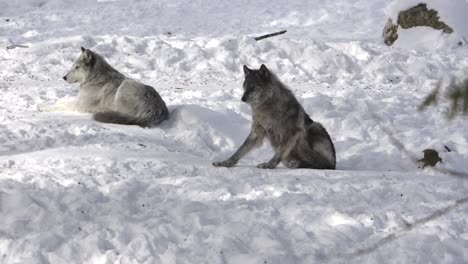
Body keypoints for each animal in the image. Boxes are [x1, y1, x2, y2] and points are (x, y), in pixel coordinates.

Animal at [37, 47, 168, 127]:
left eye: (77, 67)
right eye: (73, 66)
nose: (64, 77)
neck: (94, 79)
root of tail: (157, 109)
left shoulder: (79, 106)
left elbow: (60, 106)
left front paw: (43, 107)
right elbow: (62, 101)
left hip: (124, 88)